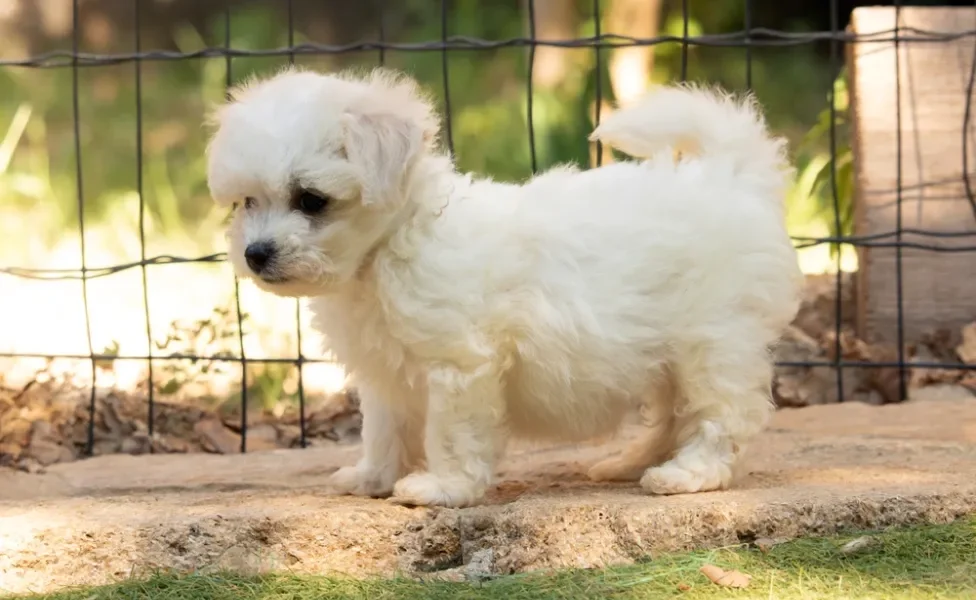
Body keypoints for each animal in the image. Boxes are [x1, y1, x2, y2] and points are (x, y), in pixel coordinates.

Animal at [204, 68, 800, 508]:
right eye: (247, 202)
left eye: (311, 200)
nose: (256, 254)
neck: (389, 249)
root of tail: (732, 176)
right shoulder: (385, 374)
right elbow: (384, 429)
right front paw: (372, 478)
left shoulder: (458, 365)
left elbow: (449, 434)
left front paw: (440, 489)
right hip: (663, 354)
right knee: (672, 413)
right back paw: (631, 463)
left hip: (714, 342)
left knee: (725, 414)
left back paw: (687, 474)